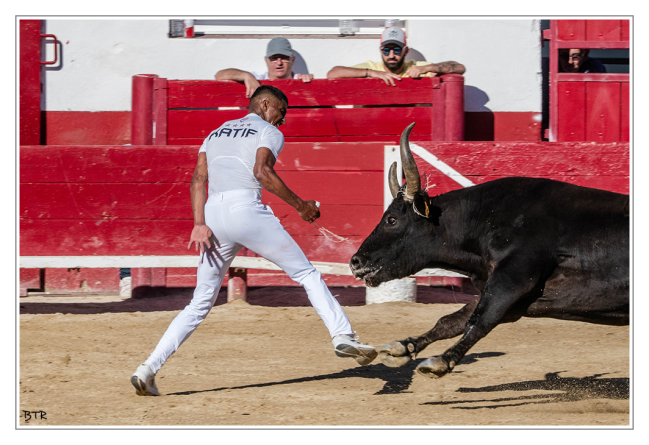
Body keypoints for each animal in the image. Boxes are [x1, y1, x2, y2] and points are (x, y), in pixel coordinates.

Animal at [350, 122, 628, 378]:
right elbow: (453, 319)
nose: (355, 261)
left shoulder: (513, 279)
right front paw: (403, 348)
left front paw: (440, 361)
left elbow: (480, 319)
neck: (486, 221)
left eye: (392, 220)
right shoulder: (510, 294)